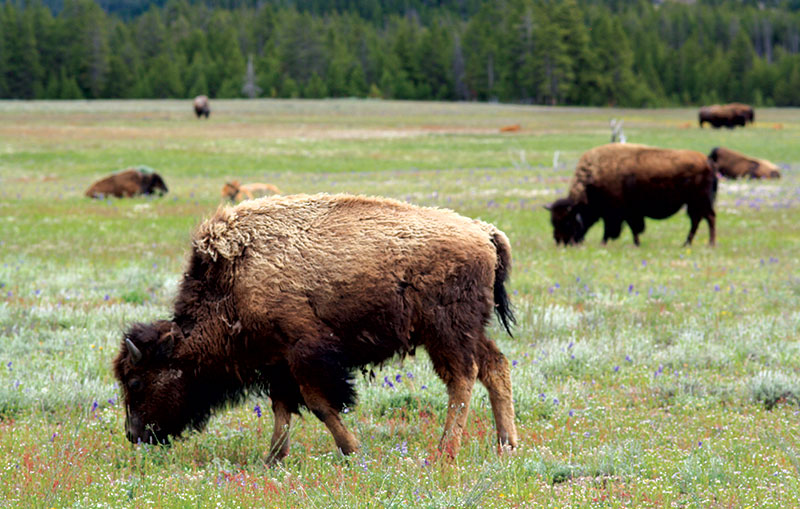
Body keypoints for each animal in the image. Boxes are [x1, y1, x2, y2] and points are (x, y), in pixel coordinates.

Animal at [114, 194, 518, 461]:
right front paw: (272, 460)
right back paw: (506, 445)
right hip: (470, 331)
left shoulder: (305, 355)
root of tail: (485, 232)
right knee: (495, 367)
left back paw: (445, 451)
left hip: (446, 332)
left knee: (463, 378)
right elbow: (282, 409)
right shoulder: (276, 362)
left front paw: (352, 450)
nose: (134, 435)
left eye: (135, 381)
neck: (233, 282)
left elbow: (320, 405)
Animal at [546, 144, 717, 247]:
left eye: (567, 221)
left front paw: (604, 243)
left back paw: (709, 243)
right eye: (553, 221)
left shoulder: (616, 214)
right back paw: (687, 244)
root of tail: (708, 162)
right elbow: (632, 228)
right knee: (698, 220)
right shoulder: (628, 214)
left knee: (707, 218)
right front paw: (636, 243)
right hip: (693, 204)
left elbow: (614, 229)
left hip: (699, 201)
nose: (559, 241)